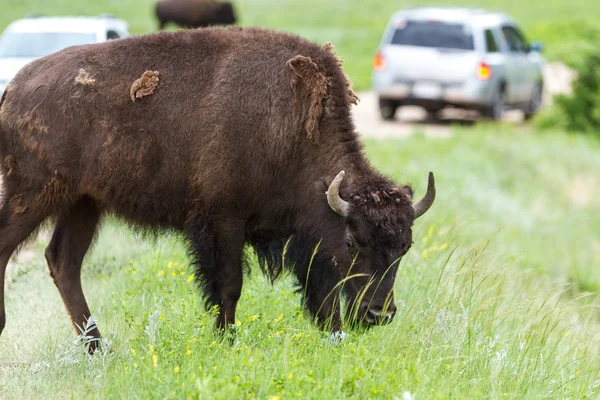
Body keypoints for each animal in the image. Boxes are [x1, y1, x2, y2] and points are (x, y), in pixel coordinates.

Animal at [0, 26, 436, 352]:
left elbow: (323, 289)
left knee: (64, 261)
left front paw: (334, 336)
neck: (293, 129)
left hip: (83, 204)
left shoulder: (300, 236)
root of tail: (14, 88)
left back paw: (97, 348)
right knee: (15, 248)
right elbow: (229, 286)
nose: (380, 314)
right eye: (352, 241)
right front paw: (227, 341)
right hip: (34, 194)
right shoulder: (224, 221)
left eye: (404, 247)